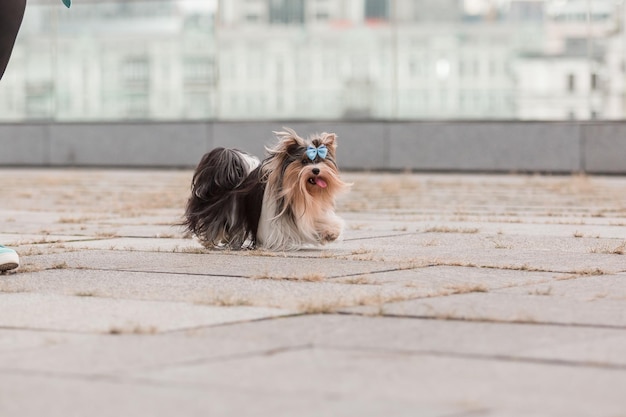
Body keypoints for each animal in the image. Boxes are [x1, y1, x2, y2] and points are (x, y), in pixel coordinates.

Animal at [183, 127, 348, 250]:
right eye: (304, 161)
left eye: (321, 161)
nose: (316, 170)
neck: (300, 193)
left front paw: (330, 233)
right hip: (223, 210)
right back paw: (209, 241)